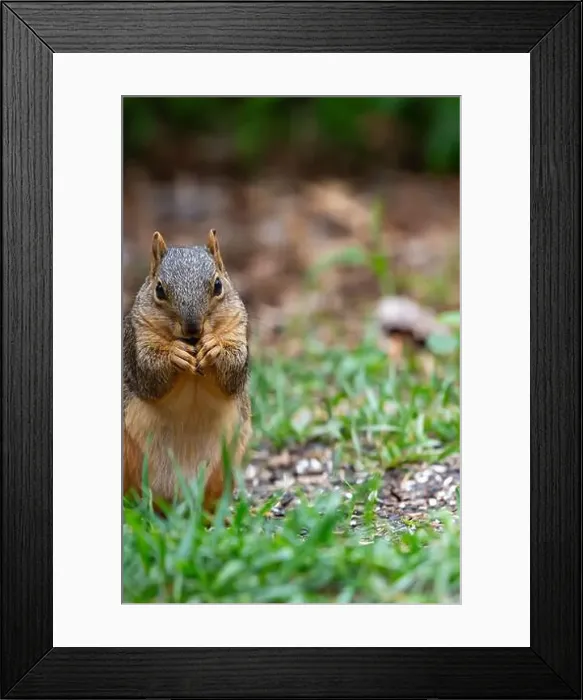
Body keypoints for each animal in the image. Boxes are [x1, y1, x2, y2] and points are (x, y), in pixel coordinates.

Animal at [123, 229, 251, 512]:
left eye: (218, 285)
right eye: (159, 289)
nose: (193, 329)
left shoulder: (237, 329)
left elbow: (234, 372)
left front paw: (214, 346)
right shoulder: (136, 343)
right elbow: (149, 376)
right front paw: (175, 354)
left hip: (224, 465)